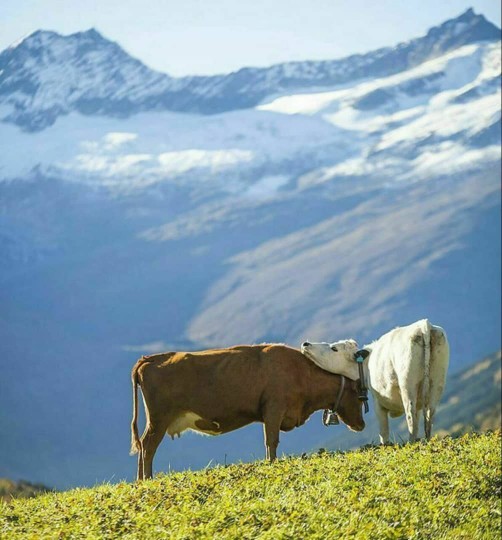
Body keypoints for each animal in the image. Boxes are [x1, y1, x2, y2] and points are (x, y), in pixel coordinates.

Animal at [129, 344, 364, 478]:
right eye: (359, 396)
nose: (361, 425)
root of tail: (150, 358)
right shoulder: (273, 409)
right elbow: (271, 440)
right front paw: (271, 463)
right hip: (158, 419)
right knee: (148, 447)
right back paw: (146, 480)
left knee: (143, 446)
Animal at [302, 320, 452, 442]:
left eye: (334, 348)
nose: (305, 343)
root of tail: (423, 325)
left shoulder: (378, 403)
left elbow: (384, 433)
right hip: (437, 381)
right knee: (429, 415)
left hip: (407, 385)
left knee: (411, 418)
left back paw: (411, 443)